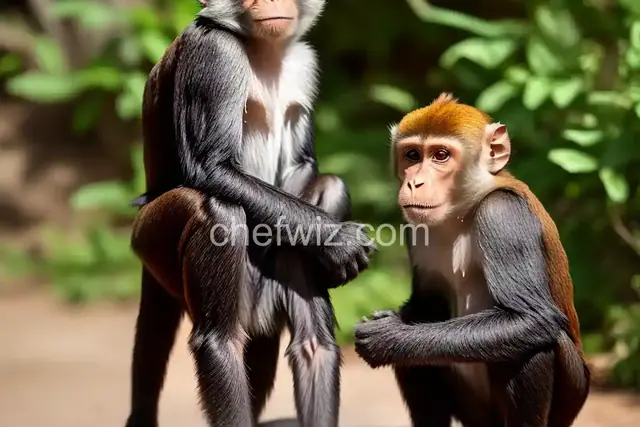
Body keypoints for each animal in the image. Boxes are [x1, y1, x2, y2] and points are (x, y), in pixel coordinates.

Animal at [124, 1, 375, 427]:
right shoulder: (213, 51)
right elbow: (210, 168)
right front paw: (337, 241)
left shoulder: (305, 63)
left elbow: (314, 346)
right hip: (151, 236)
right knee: (219, 219)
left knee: (330, 186)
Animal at [353, 93, 590, 427]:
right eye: (412, 155)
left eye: (440, 155)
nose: (414, 183)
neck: (464, 209)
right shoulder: (415, 227)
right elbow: (428, 305)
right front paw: (395, 320)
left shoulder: (502, 214)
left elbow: (532, 318)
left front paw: (388, 336)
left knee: (533, 345)